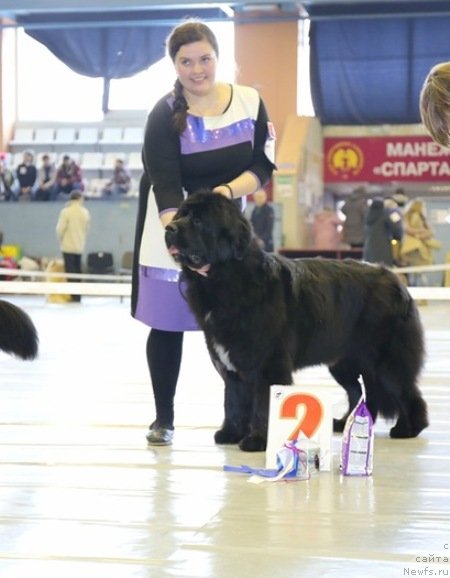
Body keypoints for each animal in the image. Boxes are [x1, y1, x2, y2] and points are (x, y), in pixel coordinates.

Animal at [165, 191, 428, 452]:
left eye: (198, 221)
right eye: (181, 215)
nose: (169, 227)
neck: (228, 277)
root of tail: (398, 282)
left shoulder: (267, 363)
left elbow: (263, 403)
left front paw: (258, 440)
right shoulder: (232, 363)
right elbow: (233, 400)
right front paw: (231, 433)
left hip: (385, 361)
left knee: (405, 391)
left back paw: (408, 428)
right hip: (346, 362)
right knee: (361, 393)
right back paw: (346, 423)